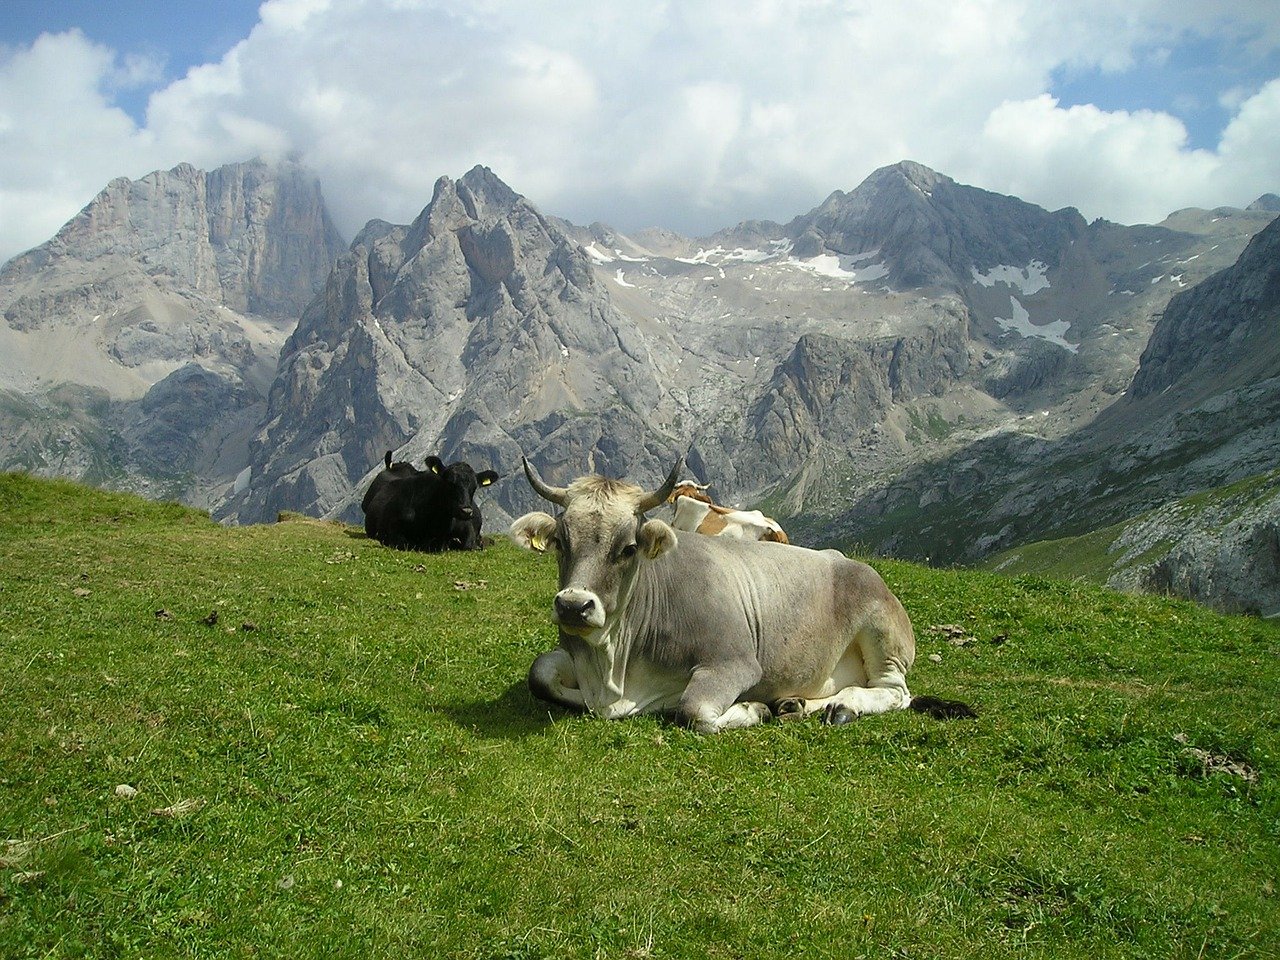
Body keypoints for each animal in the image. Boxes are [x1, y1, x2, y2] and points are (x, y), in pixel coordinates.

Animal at [363, 455, 501, 552]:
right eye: (450, 483)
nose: (466, 511)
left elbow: (469, 545)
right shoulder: (394, 531)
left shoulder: (468, 530)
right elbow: (408, 544)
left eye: (474, 487)